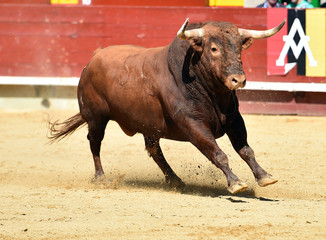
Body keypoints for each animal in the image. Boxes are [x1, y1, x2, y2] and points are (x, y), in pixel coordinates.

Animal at [48, 17, 286, 194]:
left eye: (239, 48)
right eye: (214, 48)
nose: (238, 79)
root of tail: (96, 55)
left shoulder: (235, 119)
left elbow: (246, 150)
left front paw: (265, 177)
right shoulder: (193, 125)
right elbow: (218, 153)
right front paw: (235, 183)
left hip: (147, 125)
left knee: (154, 150)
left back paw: (174, 179)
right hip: (96, 117)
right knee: (95, 142)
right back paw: (101, 178)